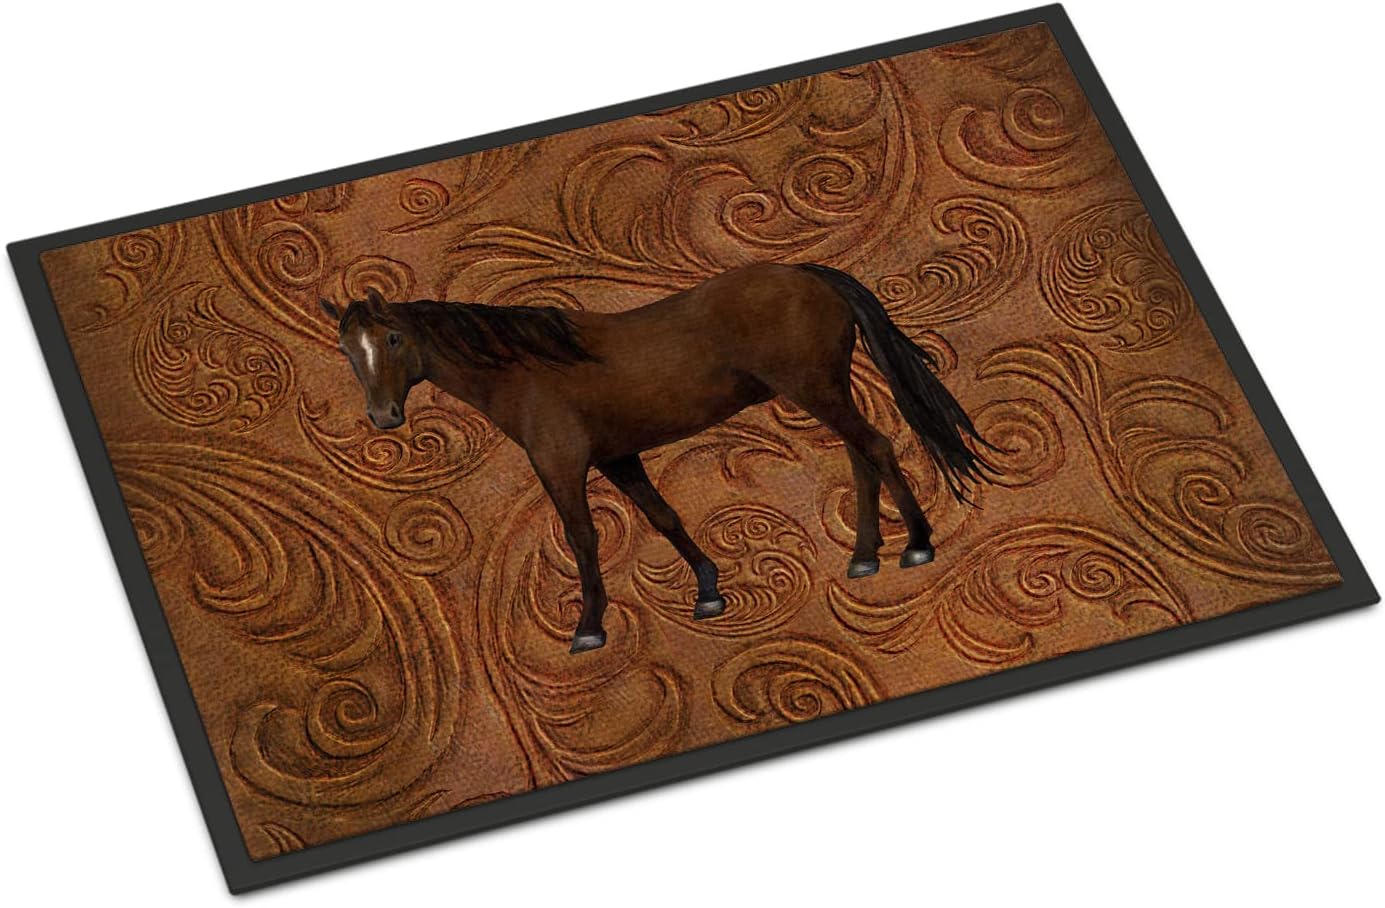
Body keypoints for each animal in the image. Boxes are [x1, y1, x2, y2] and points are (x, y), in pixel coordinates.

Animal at [321, 262, 995, 654]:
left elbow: (583, 536)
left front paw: (588, 628)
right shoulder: (618, 458)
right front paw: (709, 591)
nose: (384, 417)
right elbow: (664, 517)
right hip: (825, 390)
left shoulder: (560, 463)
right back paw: (863, 556)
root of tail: (809, 275)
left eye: (393, 338)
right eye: (348, 352)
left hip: (815, 389)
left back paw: (917, 543)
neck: (529, 368)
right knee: (861, 457)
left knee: (875, 448)